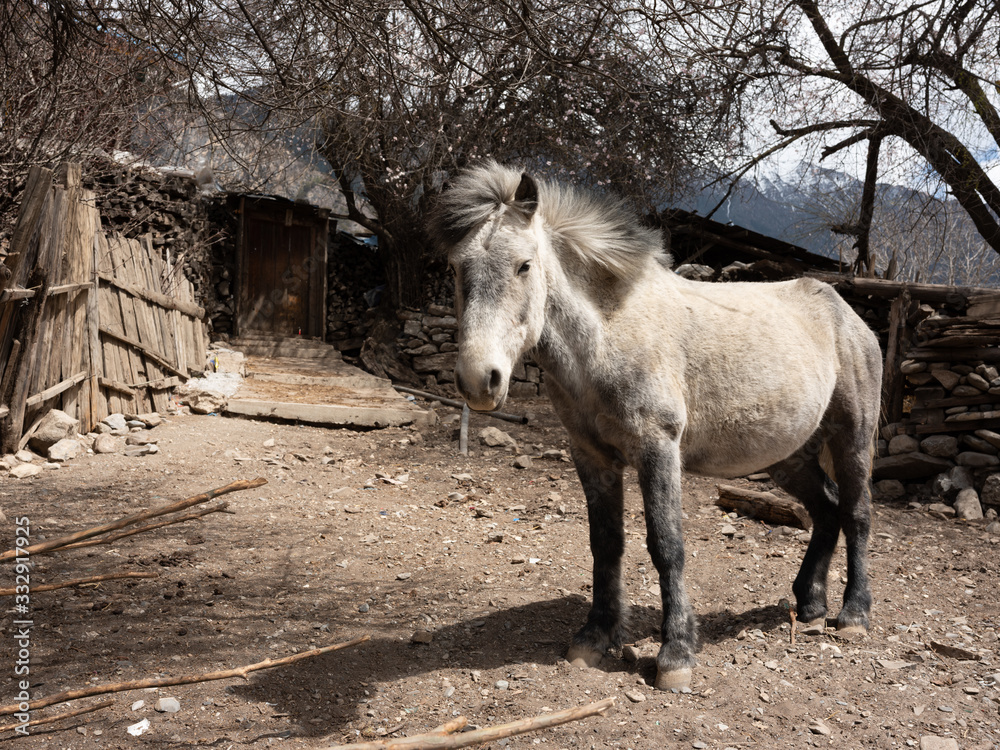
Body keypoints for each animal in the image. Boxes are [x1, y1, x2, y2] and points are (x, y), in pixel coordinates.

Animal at [430, 161, 882, 691]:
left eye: (524, 265)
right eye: (456, 267)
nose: (479, 380)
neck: (610, 335)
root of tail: (847, 315)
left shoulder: (658, 449)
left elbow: (667, 545)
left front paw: (676, 654)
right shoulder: (591, 456)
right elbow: (606, 543)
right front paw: (595, 637)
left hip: (852, 437)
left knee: (856, 513)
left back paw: (853, 615)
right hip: (789, 456)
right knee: (827, 511)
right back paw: (810, 606)